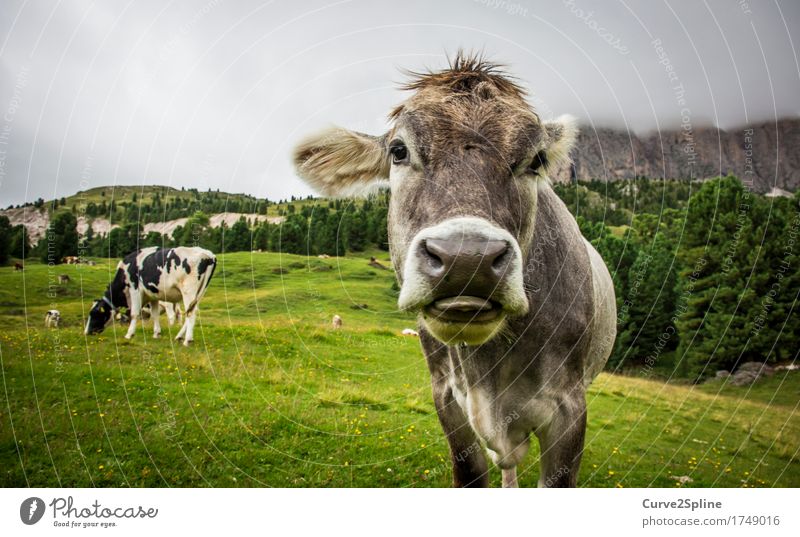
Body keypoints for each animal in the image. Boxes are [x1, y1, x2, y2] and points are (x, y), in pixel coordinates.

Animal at [85, 245, 216, 346]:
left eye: (94, 313)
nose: (86, 332)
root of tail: (208, 254)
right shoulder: (153, 295)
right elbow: (154, 314)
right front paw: (156, 333)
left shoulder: (135, 289)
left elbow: (134, 313)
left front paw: (129, 334)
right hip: (200, 292)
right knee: (192, 311)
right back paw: (179, 336)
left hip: (188, 291)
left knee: (190, 313)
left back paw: (187, 340)